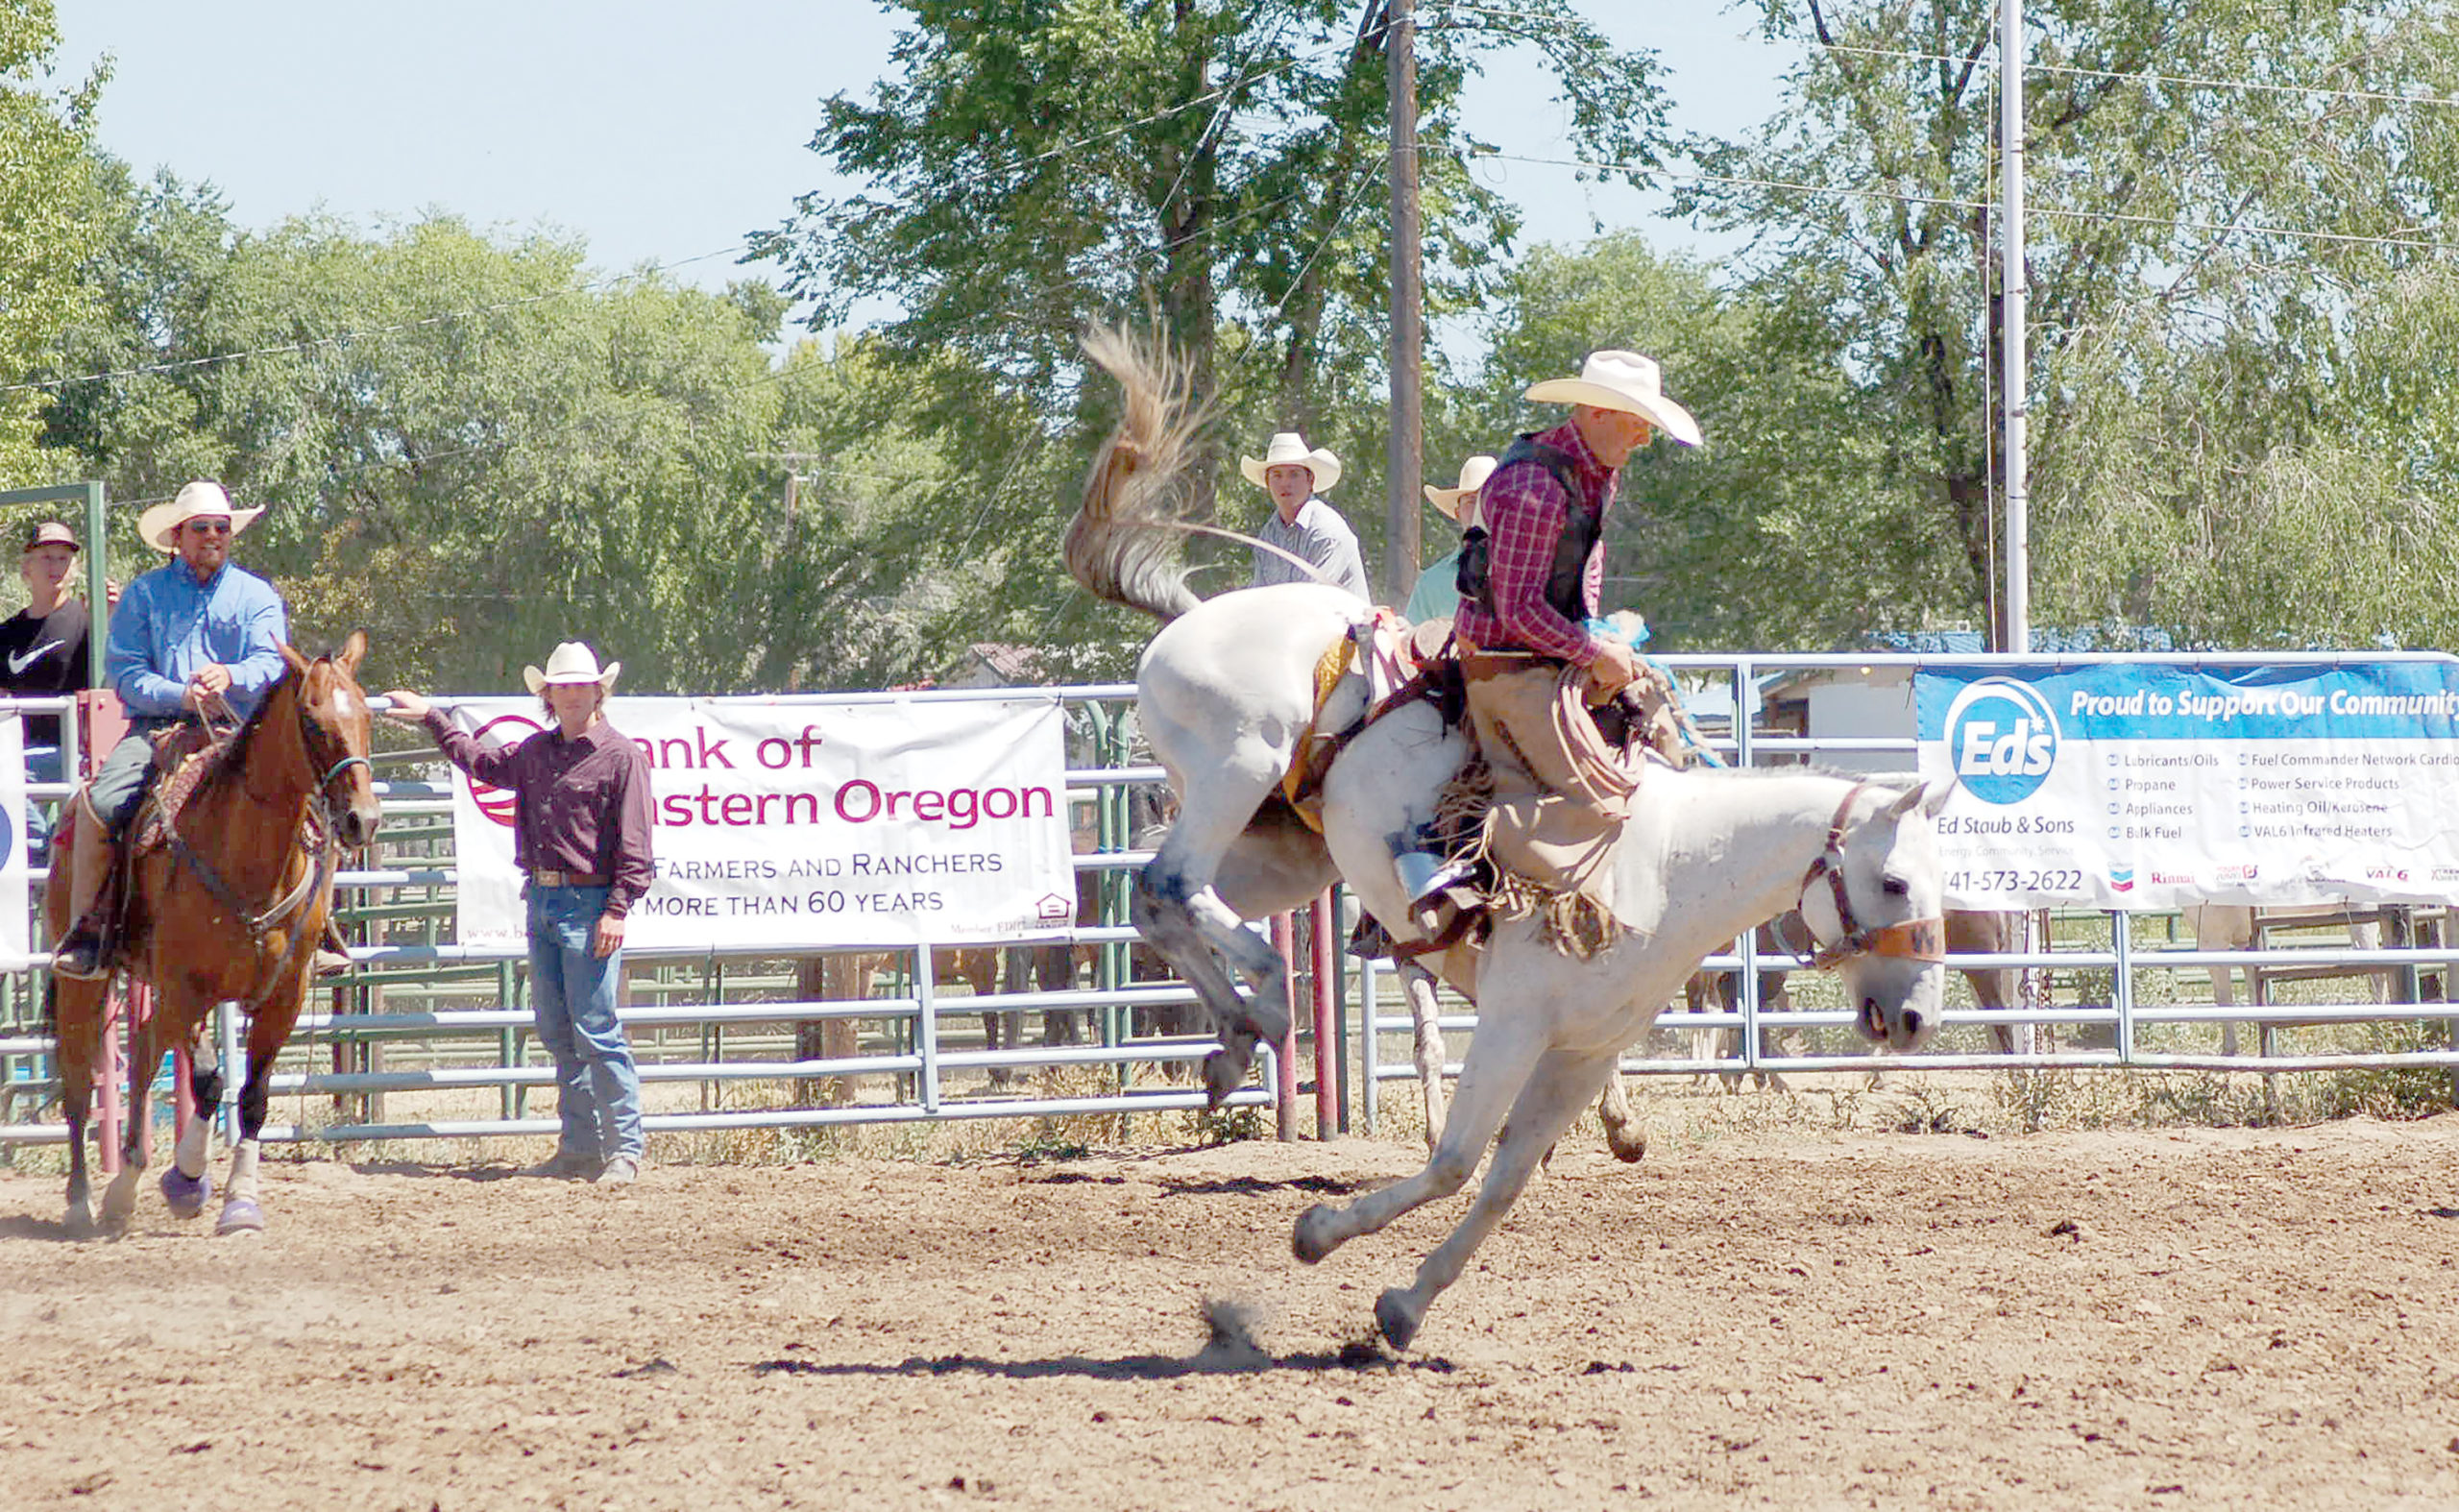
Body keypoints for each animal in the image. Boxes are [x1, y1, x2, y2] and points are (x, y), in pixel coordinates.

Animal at [46, 634, 378, 1233]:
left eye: (366, 714)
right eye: (313, 721)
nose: (362, 820)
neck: (249, 860)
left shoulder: (285, 996)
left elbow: (252, 1096)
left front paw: (240, 1201)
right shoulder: (185, 986)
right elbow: (207, 1080)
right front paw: (186, 1182)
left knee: (144, 1051)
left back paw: (124, 1187)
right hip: (82, 982)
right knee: (79, 1083)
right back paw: (83, 1201)